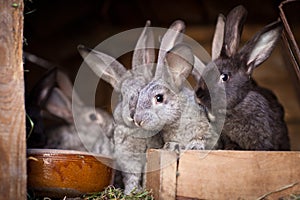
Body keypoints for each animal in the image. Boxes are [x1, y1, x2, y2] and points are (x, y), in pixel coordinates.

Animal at [77, 20, 190, 194]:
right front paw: (131, 192)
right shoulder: (129, 160)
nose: (132, 114)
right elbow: (131, 176)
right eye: (121, 96)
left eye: (143, 90)